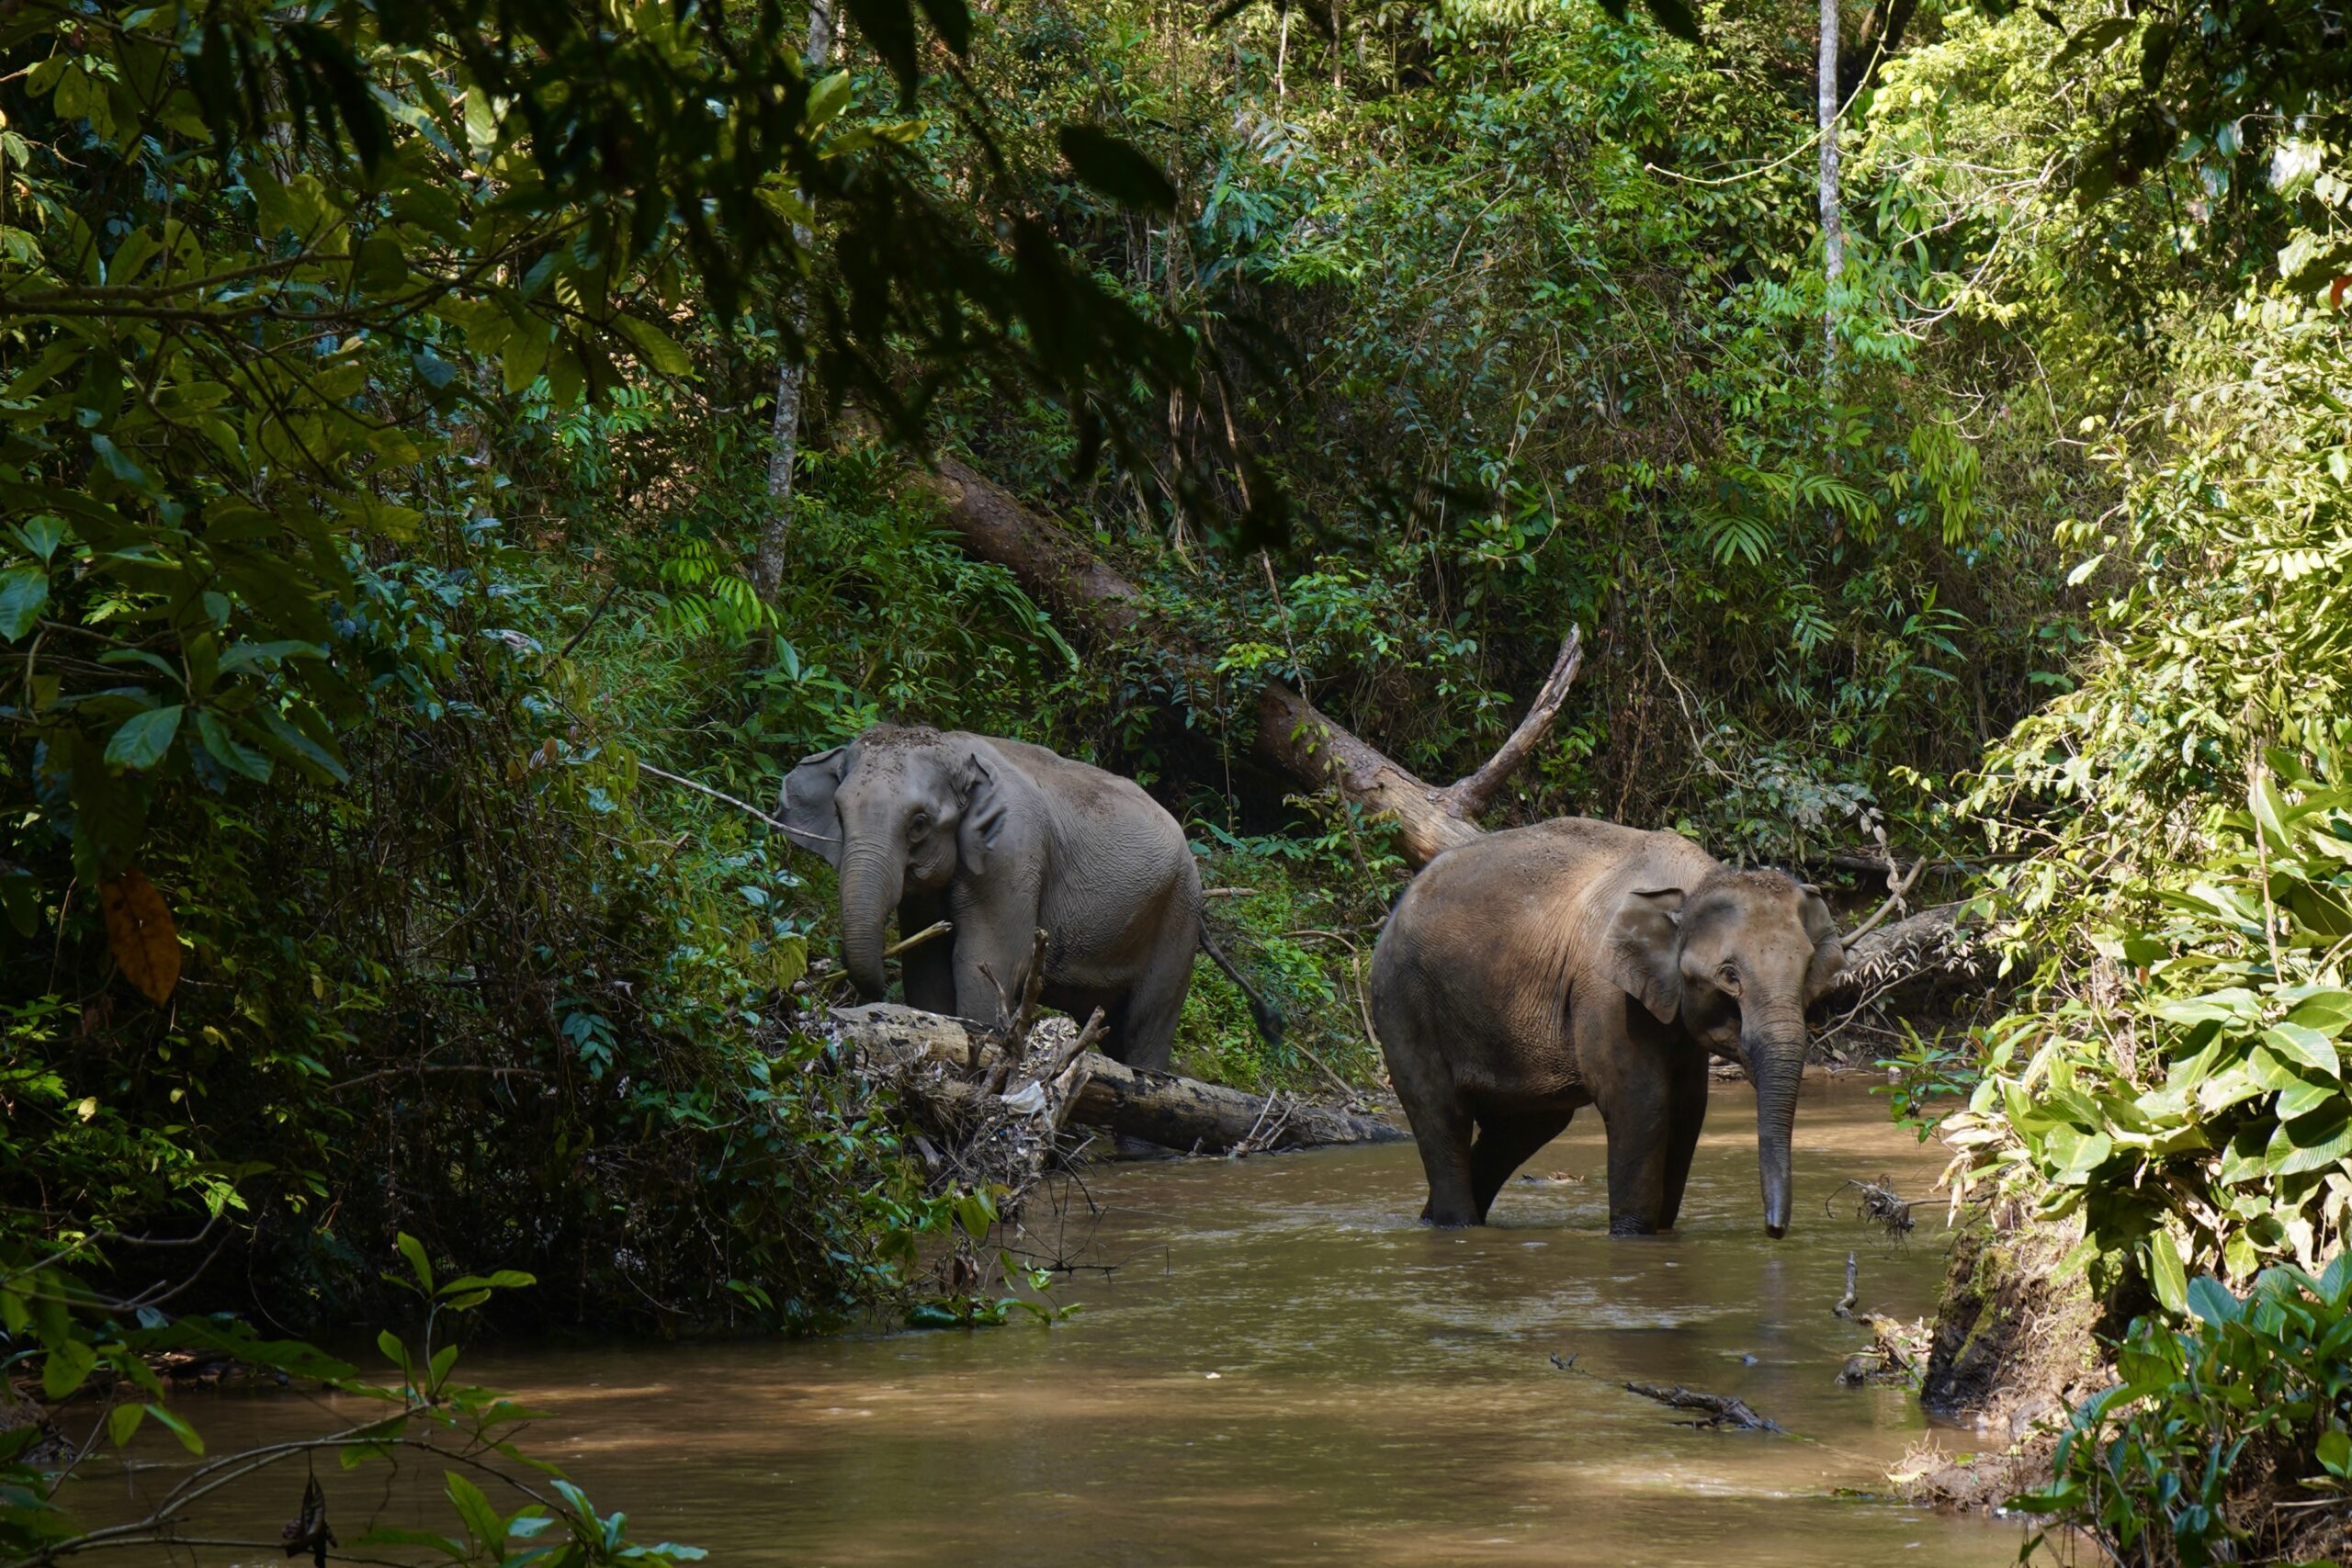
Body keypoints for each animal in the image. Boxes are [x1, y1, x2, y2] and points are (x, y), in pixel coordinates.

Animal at [781, 724, 1280, 1070]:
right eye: (839, 815)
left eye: (919, 823)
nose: (875, 992)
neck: (953, 750)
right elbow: (927, 967)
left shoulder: (1014, 855)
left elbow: (987, 960)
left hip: (1177, 917)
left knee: (1146, 1029)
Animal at [1368, 818, 1845, 1236]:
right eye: (1729, 976)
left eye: (1807, 971)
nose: (1774, 1231)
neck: (1695, 883)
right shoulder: (1606, 995)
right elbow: (1643, 1104)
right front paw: (1632, 1235)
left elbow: (1688, 1110)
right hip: (1403, 1002)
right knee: (1441, 1112)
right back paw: (1457, 1225)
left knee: (1522, 1129)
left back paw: (1433, 1220)